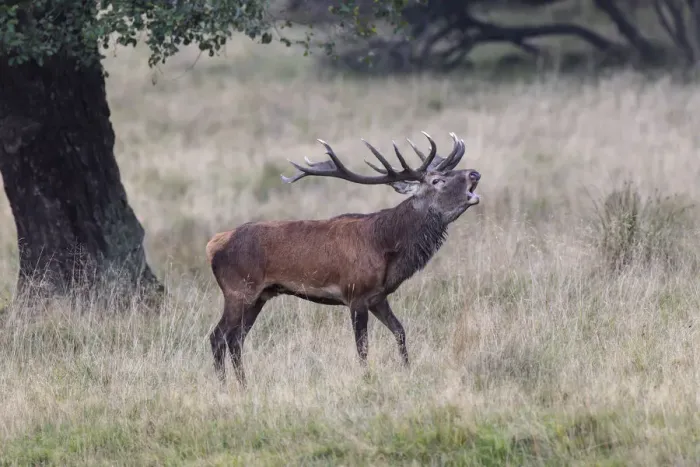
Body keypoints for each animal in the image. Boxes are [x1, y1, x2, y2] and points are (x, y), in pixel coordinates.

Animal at [206, 131, 481, 386]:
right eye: (437, 180)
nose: (474, 174)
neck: (386, 246)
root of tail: (213, 244)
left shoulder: (377, 297)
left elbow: (400, 331)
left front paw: (407, 370)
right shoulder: (355, 293)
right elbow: (362, 347)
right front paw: (367, 378)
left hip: (259, 297)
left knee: (236, 339)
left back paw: (244, 384)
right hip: (238, 291)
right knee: (218, 336)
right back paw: (224, 386)